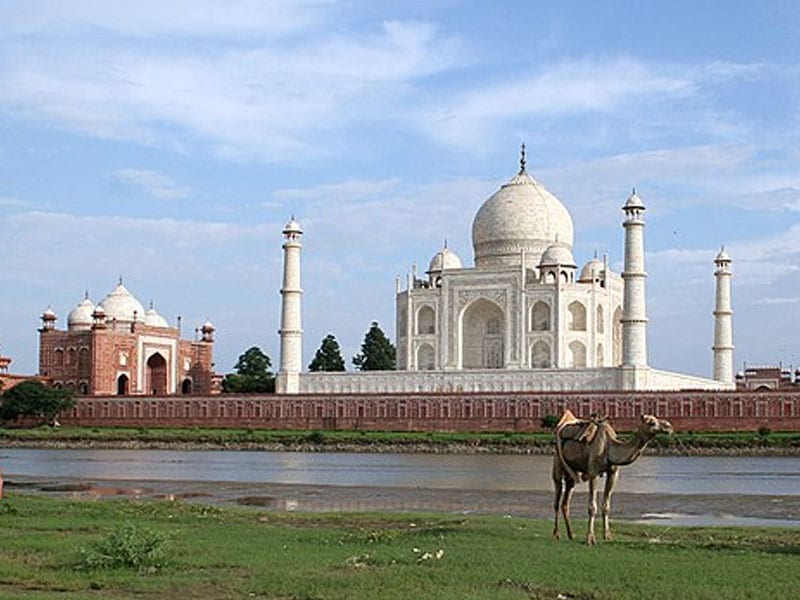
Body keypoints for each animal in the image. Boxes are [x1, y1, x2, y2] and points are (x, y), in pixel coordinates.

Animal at [552, 412, 668, 544]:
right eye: (651, 422)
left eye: (657, 419)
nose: (668, 426)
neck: (610, 446)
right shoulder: (593, 472)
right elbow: (592, 507)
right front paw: (590, 538)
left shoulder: (613, 472)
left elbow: (606, 506)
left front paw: (607, 536)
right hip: (557, 460)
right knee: (556, 497)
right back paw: (556, 534)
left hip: (572, 472)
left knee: (566, 499)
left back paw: (571, 535)